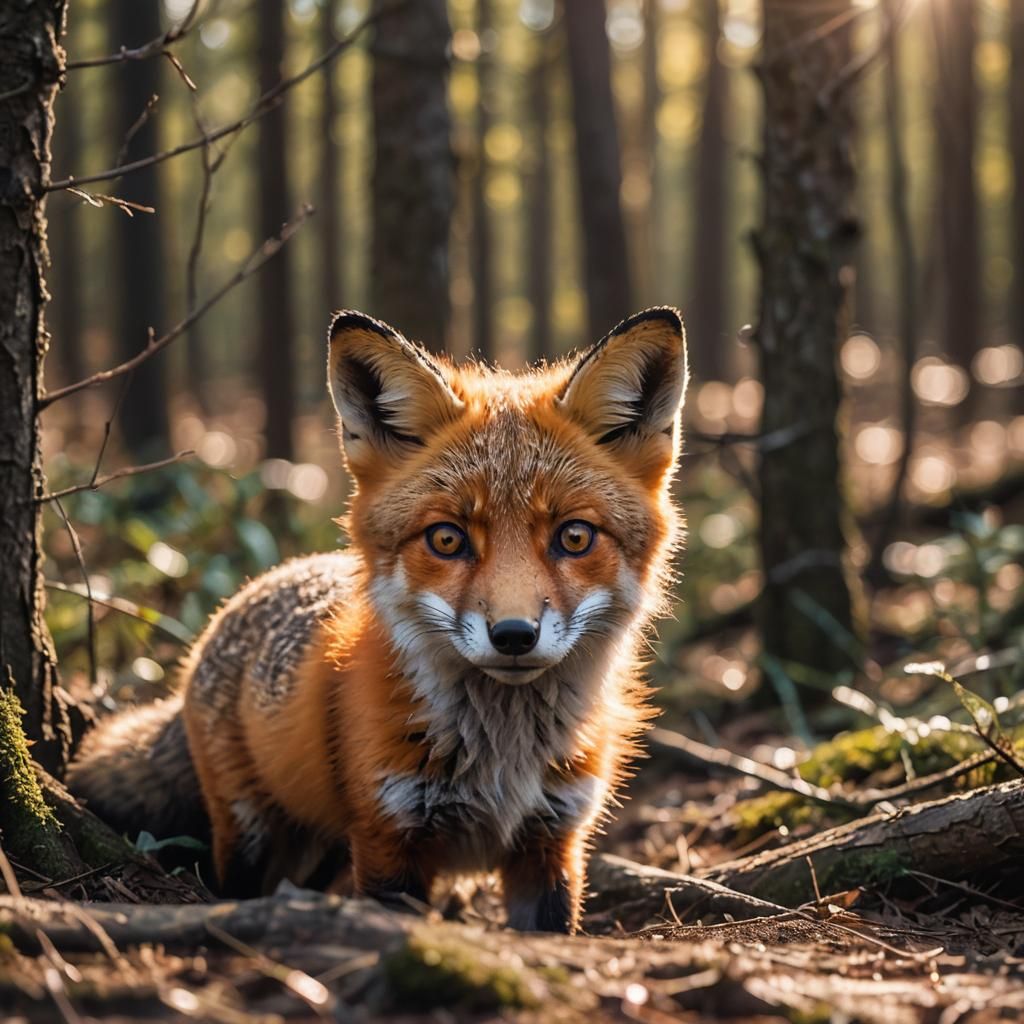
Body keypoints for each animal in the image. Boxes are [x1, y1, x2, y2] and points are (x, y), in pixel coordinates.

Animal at [67, 306, 688, 933]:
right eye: (447, 539)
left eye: (574, 537)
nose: (514, 635)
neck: (502, 759)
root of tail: (249, 592)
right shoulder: (388, 837)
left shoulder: (551, 842)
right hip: (250, 832)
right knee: (236, 881)